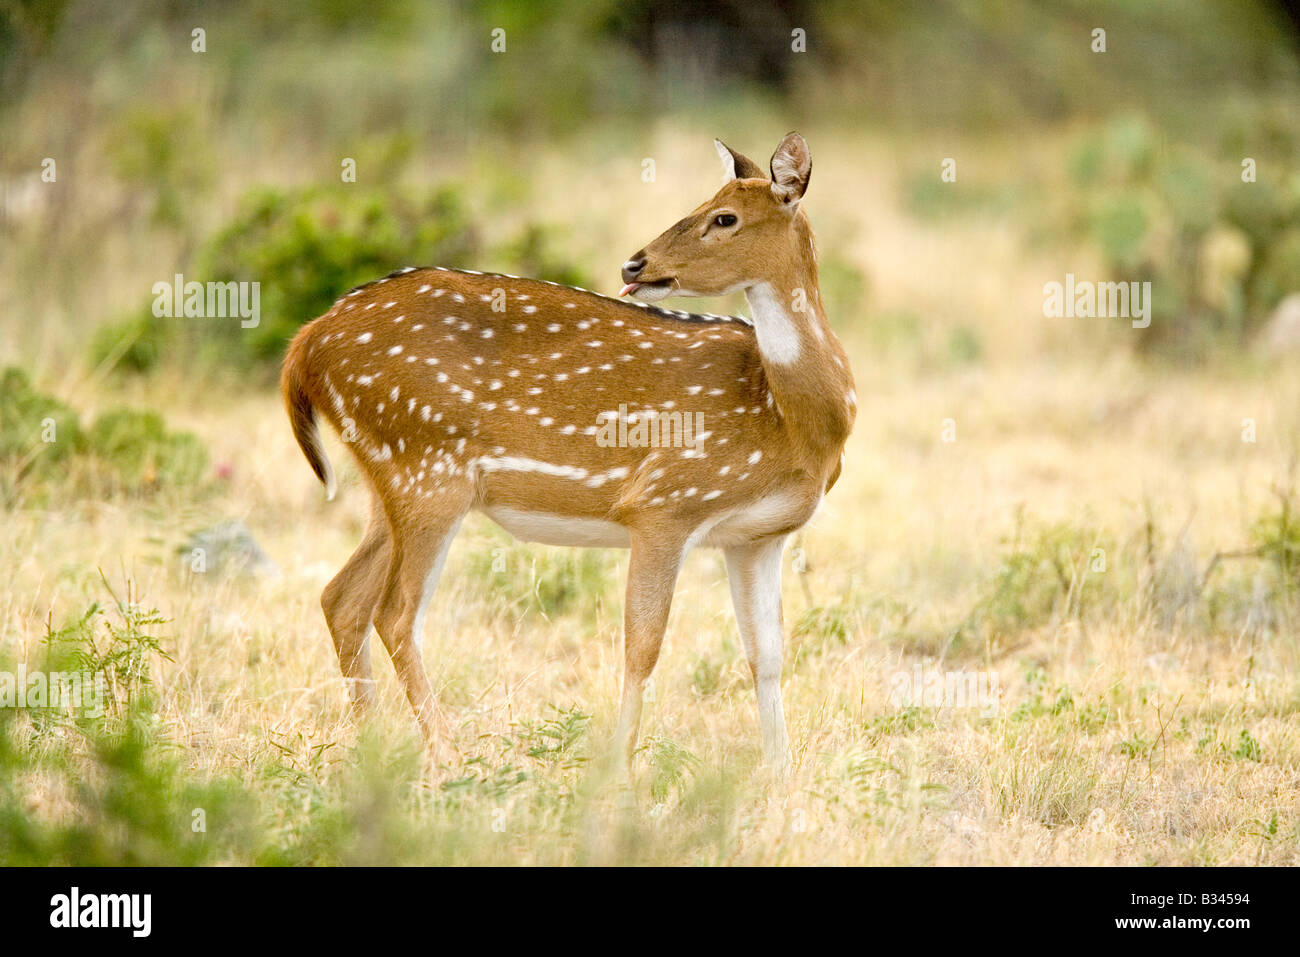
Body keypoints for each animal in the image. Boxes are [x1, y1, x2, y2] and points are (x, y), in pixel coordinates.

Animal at [281, 133, 855, 773]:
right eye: (705, 204)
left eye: (724, 216)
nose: (635, 265)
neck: (789, 419)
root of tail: (305, 343)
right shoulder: (664, 501)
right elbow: (643, 646)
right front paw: (618, 768)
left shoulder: (757, 536)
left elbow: (768, 654)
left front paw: (781, 774)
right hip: (426, 467)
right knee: (395, 613)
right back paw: (449, 754)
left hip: (389, 478)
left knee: (342, 599)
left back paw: (376, 750)